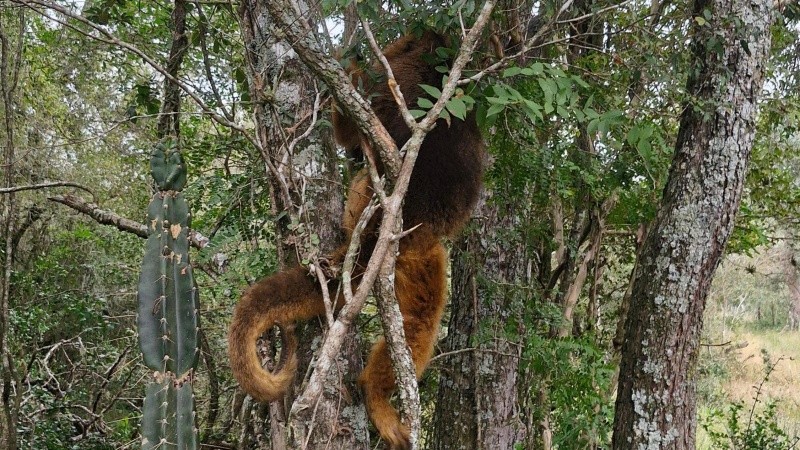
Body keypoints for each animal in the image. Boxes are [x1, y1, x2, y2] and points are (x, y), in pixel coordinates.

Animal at [228, 31, 484, 450]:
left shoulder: (398, 74)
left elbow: (351, 127)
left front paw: (346, 68)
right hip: (420, 254)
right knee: (418, 325)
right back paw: (378, 393)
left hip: (399, 238)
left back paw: (374, 395)